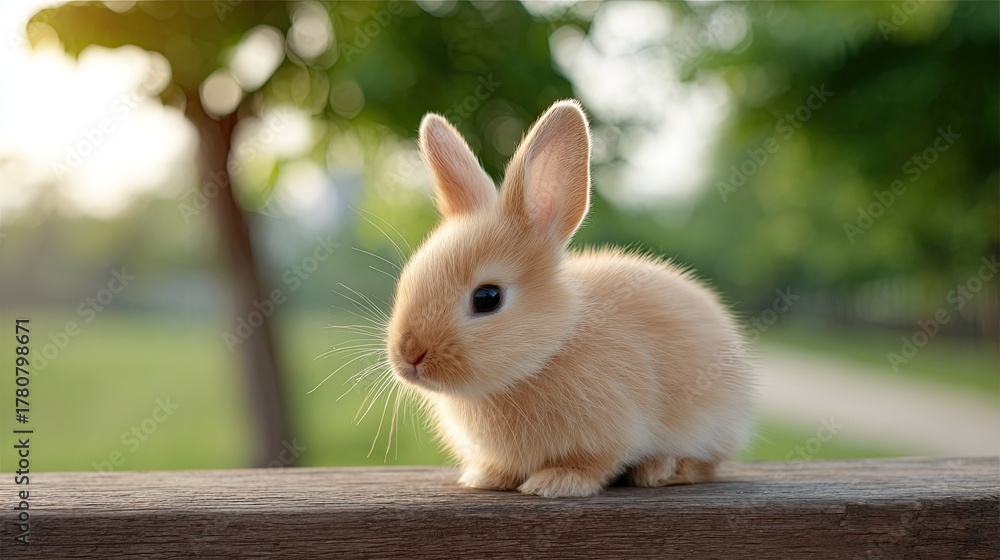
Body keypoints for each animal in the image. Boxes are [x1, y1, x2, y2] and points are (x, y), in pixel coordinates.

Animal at [385, 99, 754, 498]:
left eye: (487, 298)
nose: (409, 356)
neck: (551, 348)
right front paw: (484, 478)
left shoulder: (610, 431)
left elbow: (595, 462)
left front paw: (555, 483)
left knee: (706, 463)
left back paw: (661, 469)